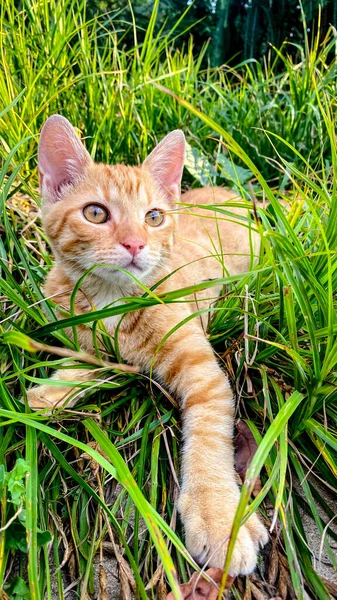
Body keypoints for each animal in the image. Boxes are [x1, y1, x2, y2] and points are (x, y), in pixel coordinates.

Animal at [27, 116, 266, 572]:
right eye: (96, 213)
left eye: (153, 217)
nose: (135, 243)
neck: (112, 300)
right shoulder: (86, 335)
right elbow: (84, 360)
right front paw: (49, 393)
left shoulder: (205, 377)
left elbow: (209, 437)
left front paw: (217, 517)